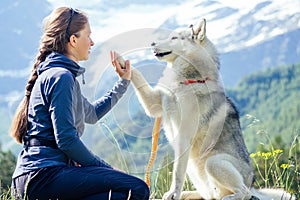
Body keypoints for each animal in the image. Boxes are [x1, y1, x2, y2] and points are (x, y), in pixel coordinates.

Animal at [122, 18, 292, 200]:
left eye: (174, 38)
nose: (152, 43)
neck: (187, 81)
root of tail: (252, 184)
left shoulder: (184, 136)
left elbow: (177, 173)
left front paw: (173, 193)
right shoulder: (155, 104)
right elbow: (137, 76)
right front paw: (121, 63)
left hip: (214, 163)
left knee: (242, 194)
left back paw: (227, 197)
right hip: (198, 173)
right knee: (210, 195)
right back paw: (189, 194)